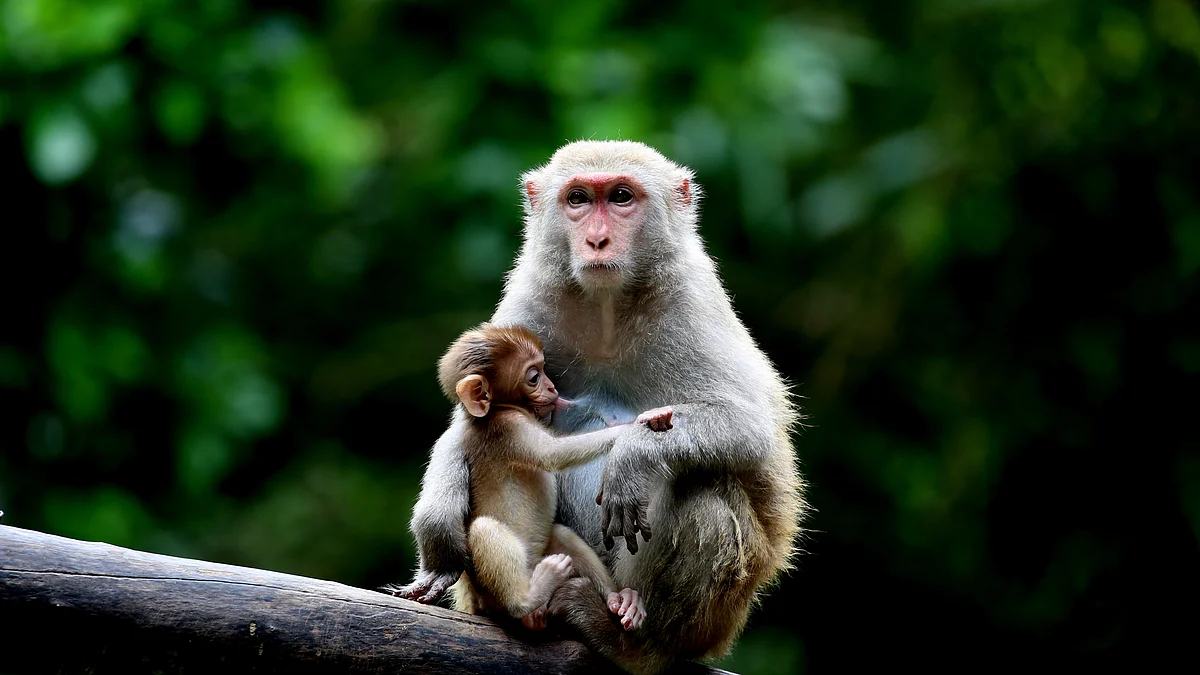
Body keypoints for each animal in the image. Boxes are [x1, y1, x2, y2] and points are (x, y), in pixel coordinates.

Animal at [432, 323, 671, 632]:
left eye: (545, 369)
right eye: (534, 377)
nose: (552, 388)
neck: (497, 411)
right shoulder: (510, 428)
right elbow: (554, 454)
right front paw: (638, 423)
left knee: (561, 534)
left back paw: (617, 598)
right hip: (491, 594)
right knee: (485, 529)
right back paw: (528, 599)